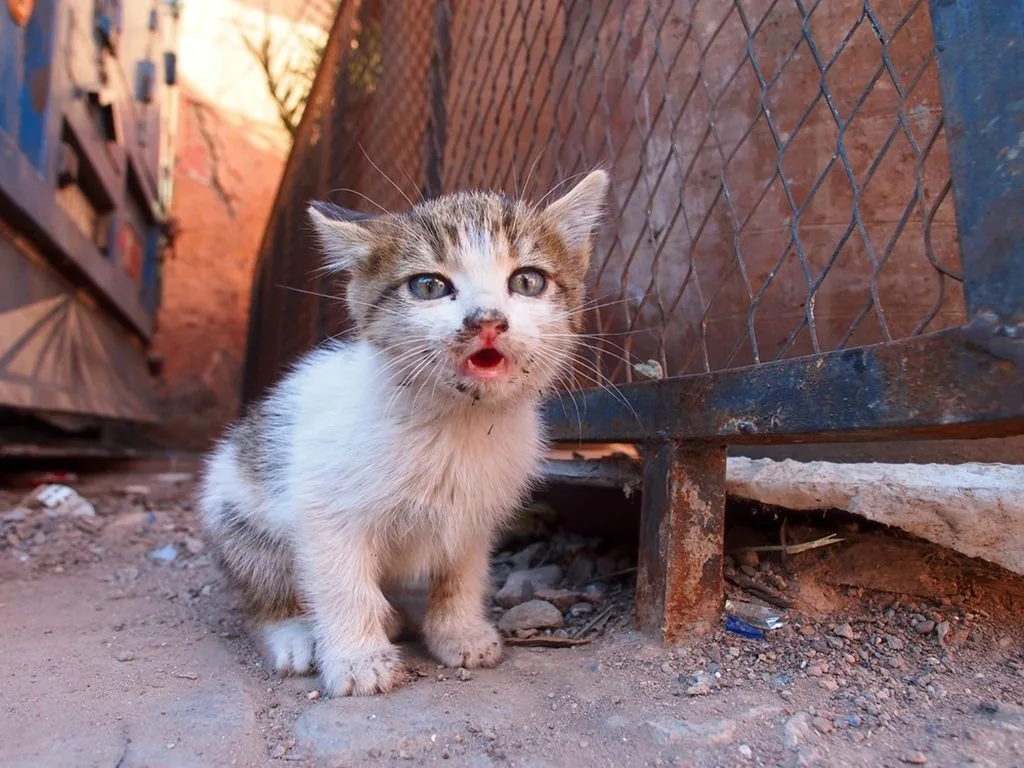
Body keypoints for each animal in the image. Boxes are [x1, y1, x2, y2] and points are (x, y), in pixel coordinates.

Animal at [199, 169, 606, 696]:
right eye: (428, 286)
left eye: (527, 281)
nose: (487, 321)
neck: (457, 423)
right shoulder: (324, 508)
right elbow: (342, 584)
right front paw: (357, 660)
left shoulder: (475, 515)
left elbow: (462, 574)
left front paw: (459, 632)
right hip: (235, 519)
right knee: (261, 592)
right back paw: (293, 634)